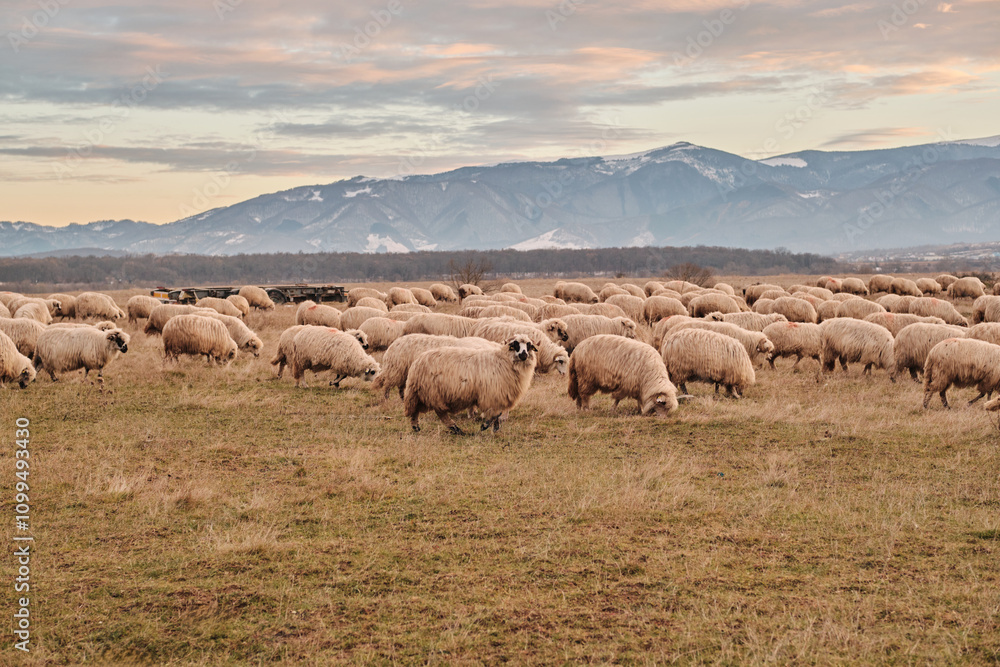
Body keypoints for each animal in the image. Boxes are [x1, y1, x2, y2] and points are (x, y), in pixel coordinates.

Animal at [404, 334, 537, 434]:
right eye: (515, 344)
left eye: (529, 345)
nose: (524, 355)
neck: (504, 360)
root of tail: (418, 361)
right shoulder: (492, 395)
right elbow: (495, 413)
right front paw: (485, 425)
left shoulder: (499, 395)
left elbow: (498, 414)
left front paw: (495, 426)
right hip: (430, 392)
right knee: (436, 412)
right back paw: (452, 428)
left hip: (425, 393)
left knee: (421, 411)